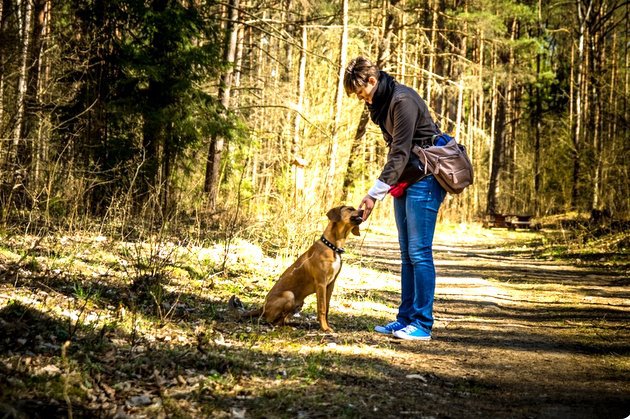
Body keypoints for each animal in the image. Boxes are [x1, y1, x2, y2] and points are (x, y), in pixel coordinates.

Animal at [230, 206, 362, 332]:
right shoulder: (321, 283)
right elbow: (322, 308)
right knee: (271, 321)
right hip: (289, 295)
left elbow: (327, 307)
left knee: (281, 320)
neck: (332, 247)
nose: (363, 210)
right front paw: (325, 328)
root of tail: (262, 307)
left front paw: (325, 325)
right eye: (350, 209)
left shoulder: (330, 284)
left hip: (299, 302)